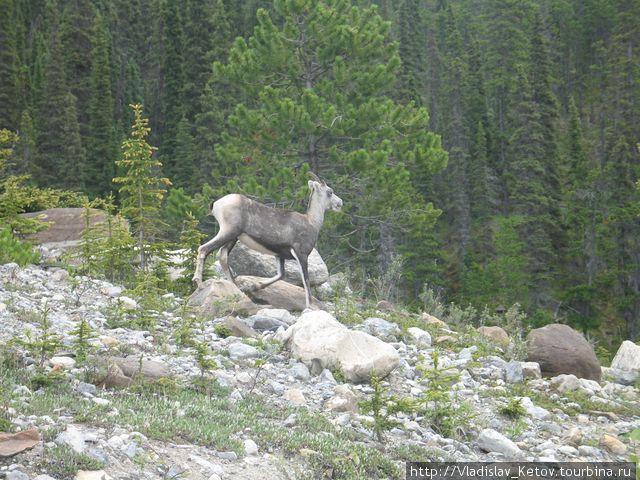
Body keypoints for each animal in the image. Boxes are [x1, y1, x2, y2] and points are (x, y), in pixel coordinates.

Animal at [192, 175, 342, 308]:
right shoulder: (301, 254)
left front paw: (253, 287)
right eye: (330, 192)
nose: (340, 203)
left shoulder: (279, 256)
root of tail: (217, 203)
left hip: (232, 238)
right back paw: (199, 282)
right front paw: (309, 306)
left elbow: (280, 275)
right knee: (204, 249)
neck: (311, 222)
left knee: (222, 256)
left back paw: (237, 289)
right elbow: (306, 280)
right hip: (228, 232)